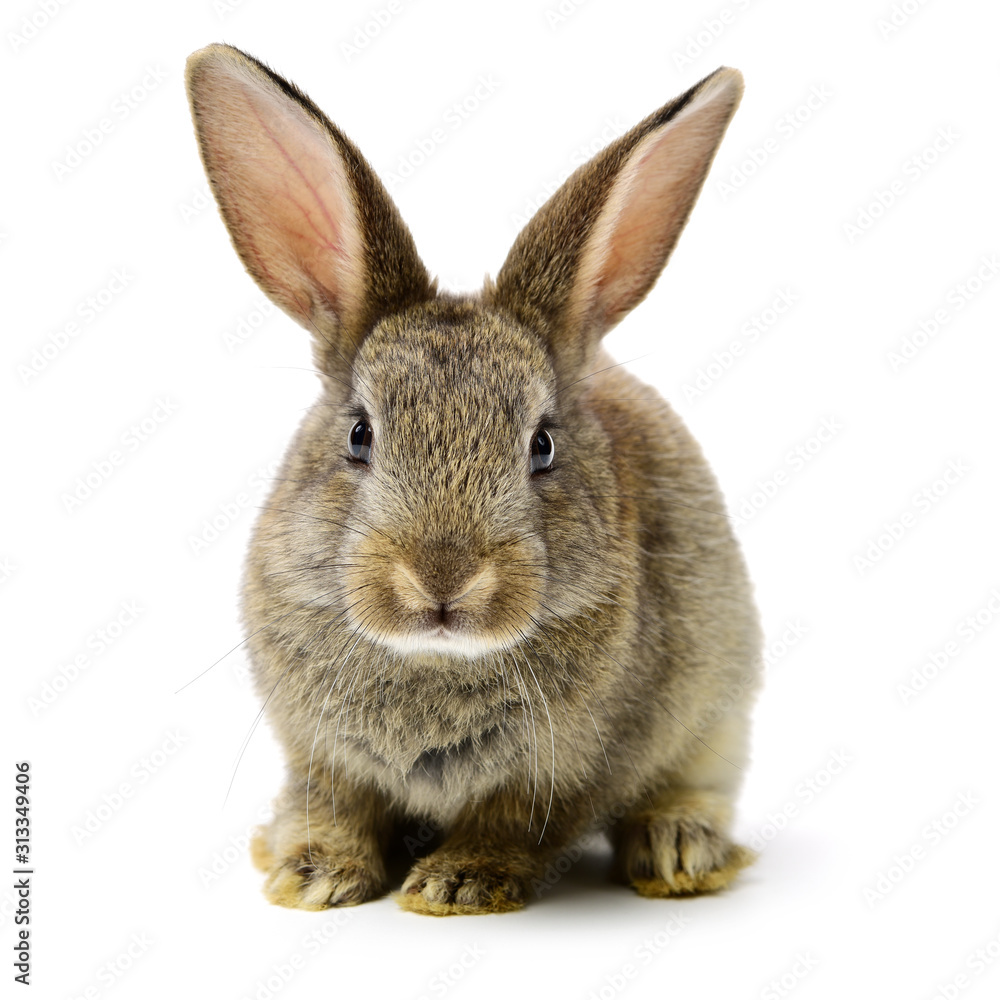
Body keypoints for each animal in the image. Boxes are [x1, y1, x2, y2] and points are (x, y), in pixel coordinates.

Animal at [185, 43, 762, 916]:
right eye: (359, 435)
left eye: (542, 447)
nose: (442, 579)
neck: (433, 659)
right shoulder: (320, 757)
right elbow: (335, 808)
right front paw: (313, 878)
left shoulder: (558, 775)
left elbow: (512, 826)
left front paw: (455, 885)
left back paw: (678, 852)